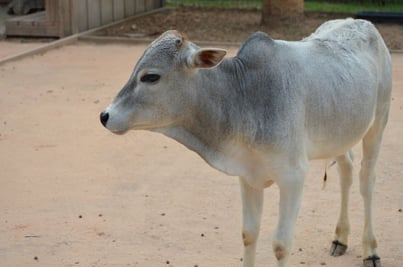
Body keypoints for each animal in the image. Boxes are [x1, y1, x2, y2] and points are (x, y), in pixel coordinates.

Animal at [100, 17, 392, 266]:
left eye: (151, 76)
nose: (105, 115)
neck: (246, 96)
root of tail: (362, 22)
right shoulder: (248, 175)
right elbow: (249, 234)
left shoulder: (294, 177)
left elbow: (281, 244)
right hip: (341, 133)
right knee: (346, 170)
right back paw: (340, 238)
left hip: (378, 123)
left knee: (367, 180)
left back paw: (371, 250)